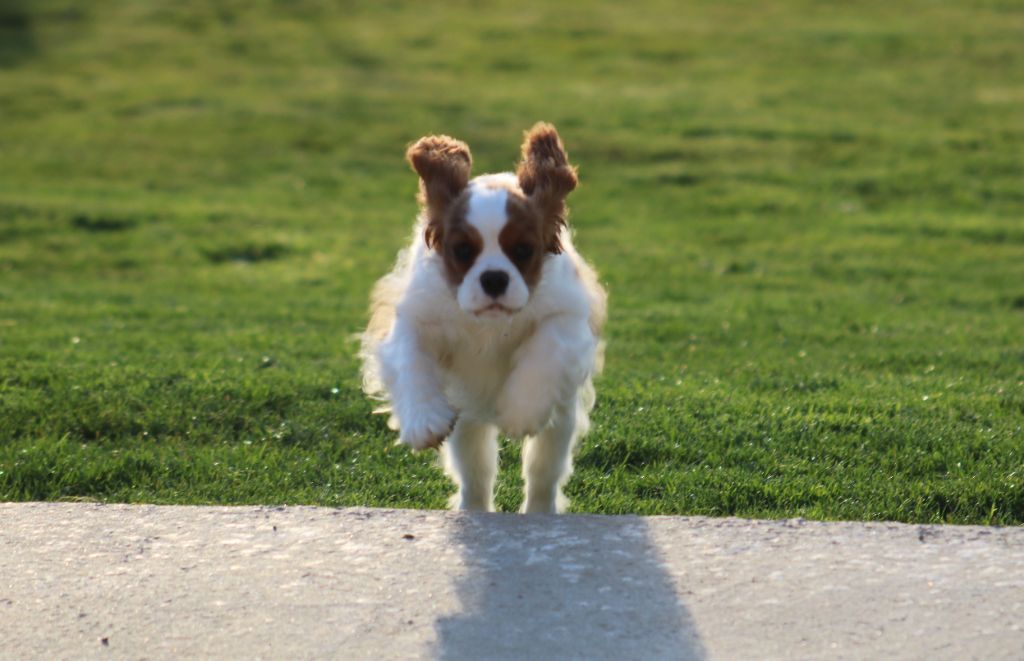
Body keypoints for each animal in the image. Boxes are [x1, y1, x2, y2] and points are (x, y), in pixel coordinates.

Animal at [360, 125, 602, 517]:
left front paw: (521, 411)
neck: (489, 324)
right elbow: (410, 359)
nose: (493, 279)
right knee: (476, 472)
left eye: (523, 250)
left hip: (560, 421)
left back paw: (539, 513)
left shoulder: (566, 314)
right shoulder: (415, 315)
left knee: (543, 472)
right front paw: (423, 421)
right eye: (462, 251)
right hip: (468, 422)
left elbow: (546, 348)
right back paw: (472, 510)